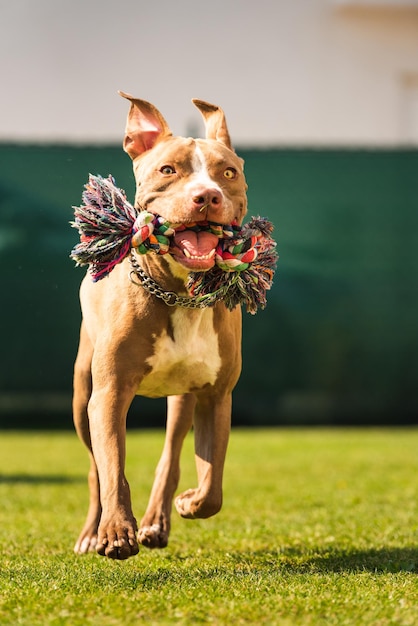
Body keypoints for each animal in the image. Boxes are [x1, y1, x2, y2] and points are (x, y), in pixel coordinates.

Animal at [73, 91, 247, 556]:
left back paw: (156, 521)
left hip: (181, 400)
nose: (207, 197)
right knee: (94, 467)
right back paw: (92, 531)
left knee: (169, 455)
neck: (180, 294)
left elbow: (213, 484)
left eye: (228, 173)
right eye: (168, 170)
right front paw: (116, 531)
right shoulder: (109, 393)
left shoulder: (216, 397)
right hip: (82, 393)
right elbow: (112, 466)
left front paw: (190, 503)